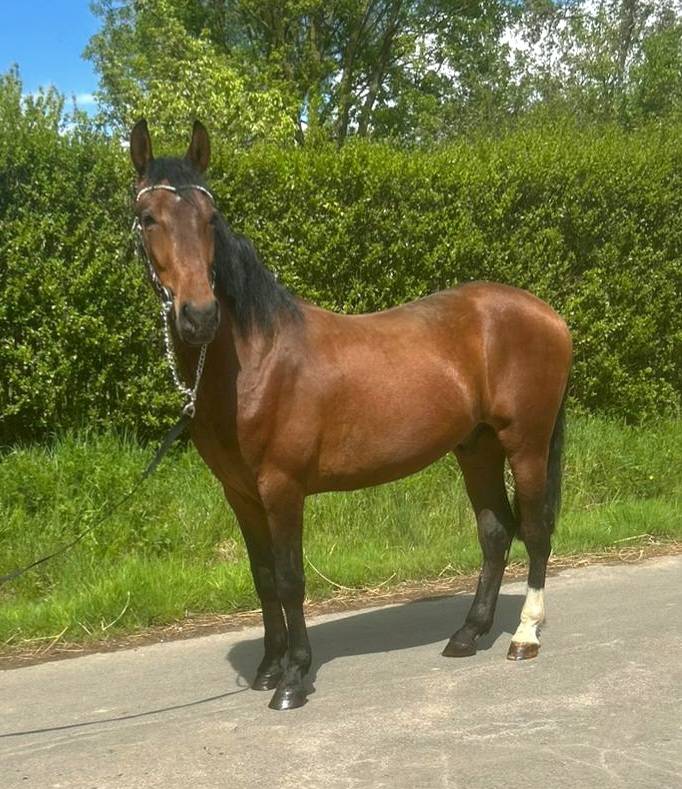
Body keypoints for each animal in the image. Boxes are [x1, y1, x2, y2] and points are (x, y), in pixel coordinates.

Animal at [129, 119, 572, 710]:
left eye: (210, 218)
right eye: (148, 217)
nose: (198, 316)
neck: (257, 358)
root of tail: (548, 315)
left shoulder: (281, 488)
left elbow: (290, 579)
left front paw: (293, 680)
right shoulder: (241, 493)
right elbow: (262, 577)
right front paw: (267, 669)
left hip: (525, 444)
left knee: (537, 529)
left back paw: (523, 636)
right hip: (477, 448)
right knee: (496, 532)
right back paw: (468, 633)